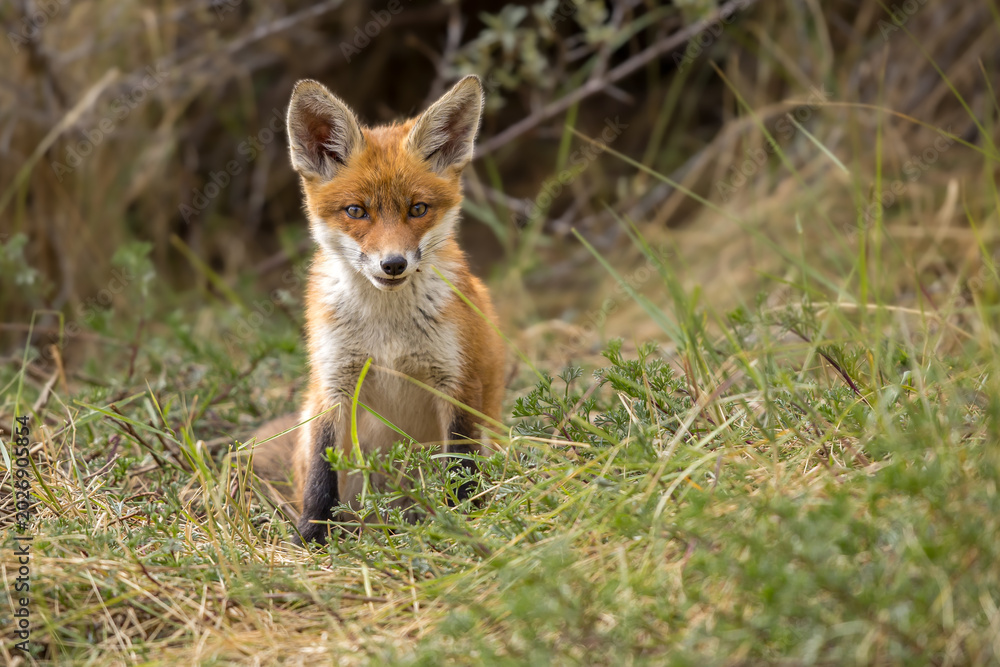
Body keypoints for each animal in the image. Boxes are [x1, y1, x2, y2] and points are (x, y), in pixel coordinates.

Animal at [245, 75, 505, 545]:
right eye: (357, 211)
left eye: (417, 209)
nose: (393, 264)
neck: (387, 334)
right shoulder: (333, 384)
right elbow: (321, 474)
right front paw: (311, 537)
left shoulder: (457, 381)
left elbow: (461, 466)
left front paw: (464, 519)